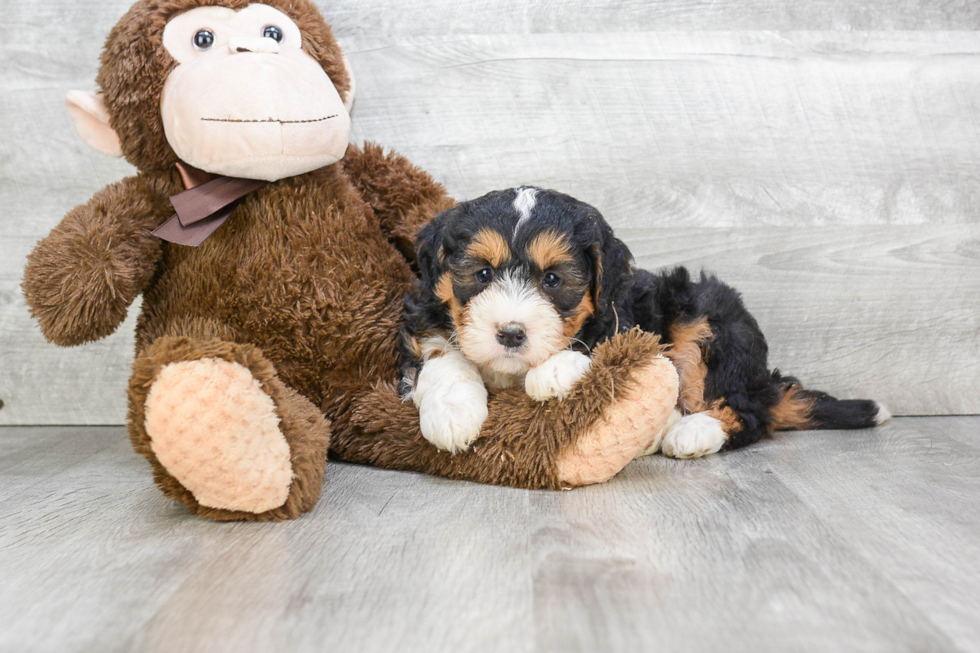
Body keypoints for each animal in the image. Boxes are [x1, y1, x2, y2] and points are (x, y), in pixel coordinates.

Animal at [398, 186, 888, 456]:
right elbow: (443, 356)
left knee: (750, 411)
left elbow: (599, 350)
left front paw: (553, 373)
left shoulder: (624, 319)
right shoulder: (426, 321)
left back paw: (692, 432)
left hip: (706, 320)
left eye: (553, 279)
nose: (511, 334)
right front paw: (453, 416)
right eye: (482, 274)